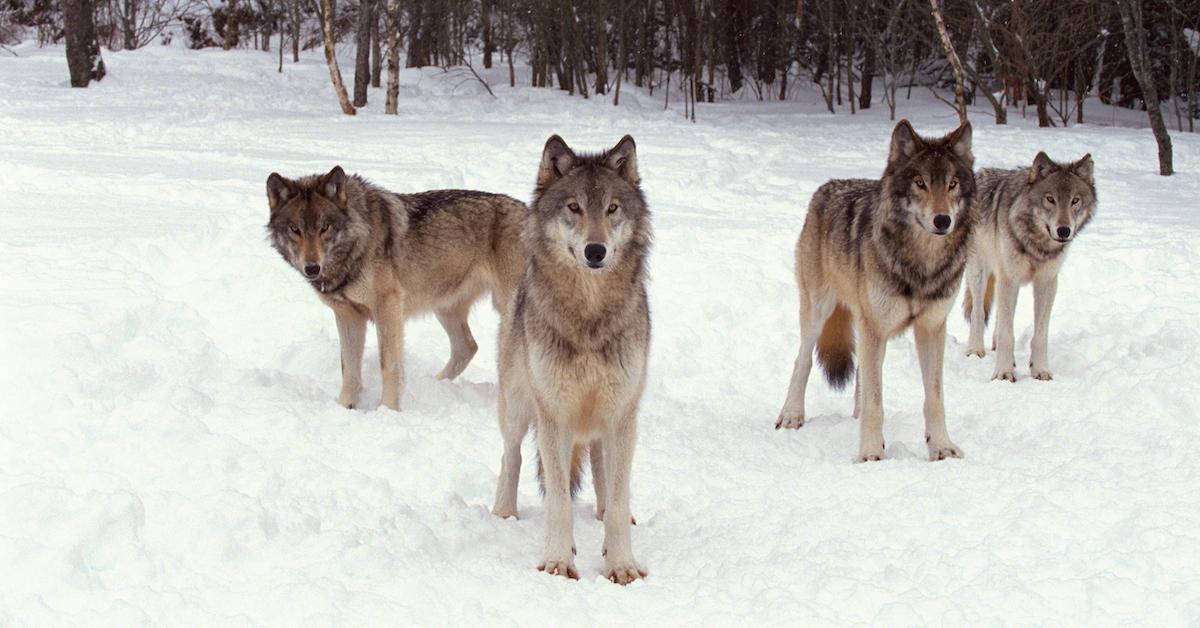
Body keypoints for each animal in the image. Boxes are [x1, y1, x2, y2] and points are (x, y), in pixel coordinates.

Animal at [262, 168, 525, 413]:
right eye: (295, 229)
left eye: (324, 227)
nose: (312, 268)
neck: (358, 242)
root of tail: (526, 209)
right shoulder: (347, 315)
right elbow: (349, 368)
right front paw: (345, 406)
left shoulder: (387, 307)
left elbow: (388, 364)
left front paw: (387, 409)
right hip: (445, 308)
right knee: (467, 347)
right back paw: (434, 385)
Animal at [489, 135, 652, 588]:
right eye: (574, 207)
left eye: (612, 208)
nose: (595, 251)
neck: (589, 317)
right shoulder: (554, 417)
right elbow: (559, 500)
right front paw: (559, 562)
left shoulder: (623, 414)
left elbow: (618, 495)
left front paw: (621, 563)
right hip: (518, 406)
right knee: (511, 454)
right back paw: (503, 513)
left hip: (601, 423)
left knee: (601, 470)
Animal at [772, 120, 979, 461]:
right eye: (920, 183)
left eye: (952, 184)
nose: (942, 220)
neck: (921, 264)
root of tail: (827, 187)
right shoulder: (875, 328)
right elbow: (875, 402)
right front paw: (870, 453)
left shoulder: (931, 328)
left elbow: (934, 399)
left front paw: (941, 447)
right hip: (820, 312)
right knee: (803, 360)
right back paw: (791, 416)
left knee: (861, 376)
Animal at [955, 152, 1099, 381]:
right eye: (1050, 199)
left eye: (1075, 201)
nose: (1064, 230)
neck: (1036, 244)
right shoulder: (1009, 279)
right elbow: (1007, 333)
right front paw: (1003, 373)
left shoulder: (1046, 283)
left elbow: (1039, 335)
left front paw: (1040, 370)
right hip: (979, 273)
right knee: (978, 313)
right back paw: (976, 350)